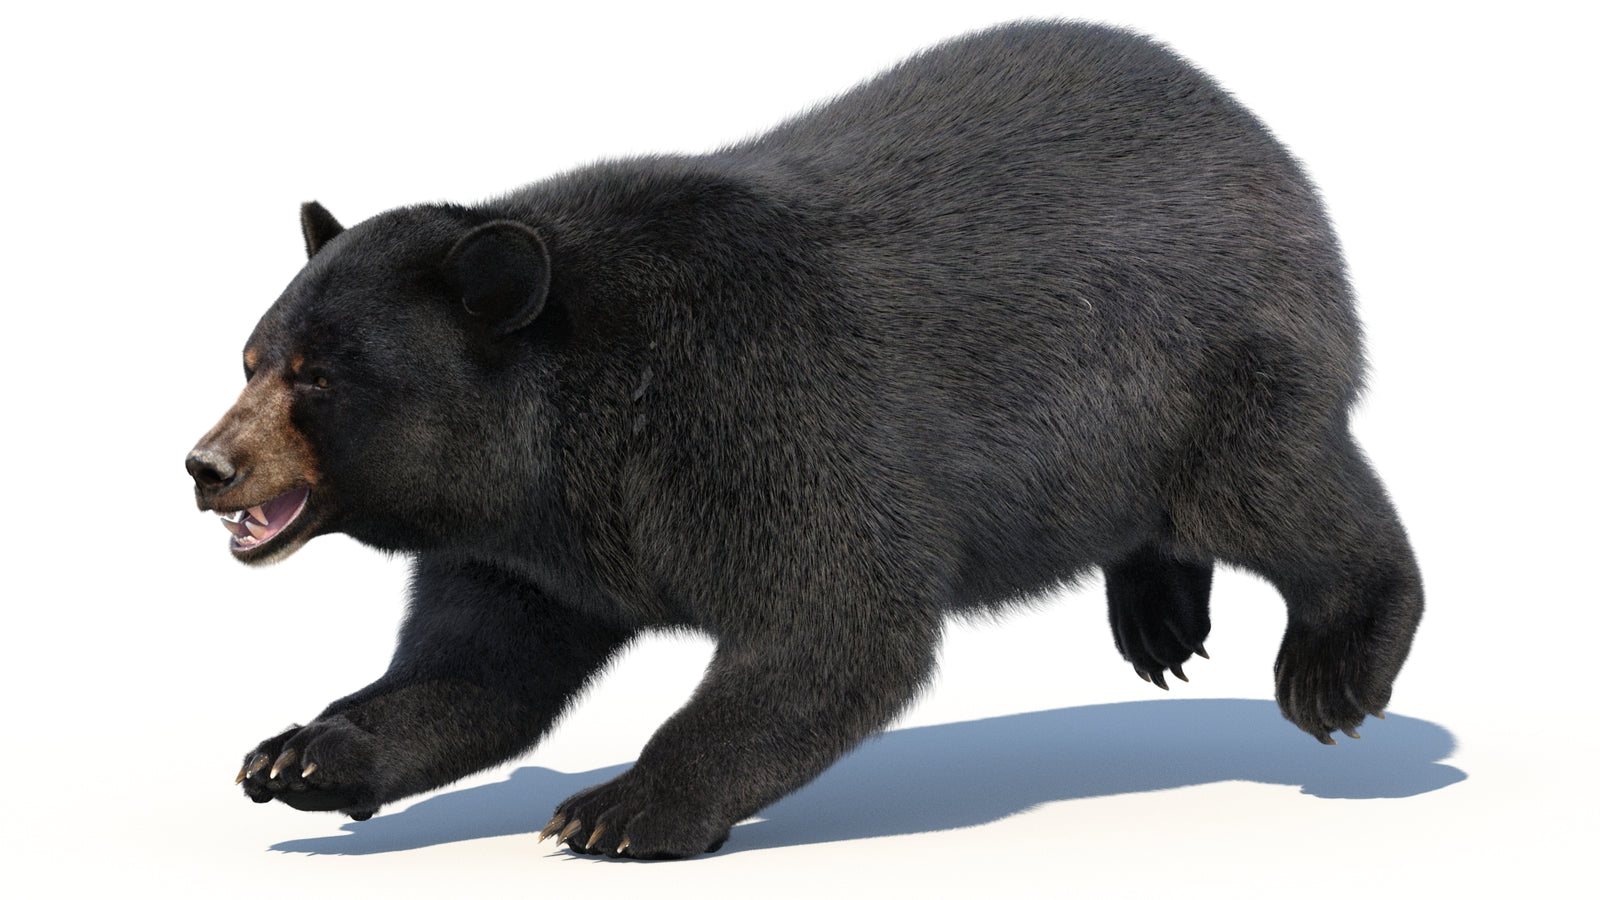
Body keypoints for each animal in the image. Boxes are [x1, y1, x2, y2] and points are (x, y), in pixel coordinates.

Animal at [186, 20, 1423, 859]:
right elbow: (477, 666)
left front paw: (621, 806)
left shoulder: (761, 410)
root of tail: (1261, 141)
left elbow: (837, 617)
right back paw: (1159, 619)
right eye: (250, 357)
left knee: (1281, 493)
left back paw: (1333, 665)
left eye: (318, 376)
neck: (573, 434)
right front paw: (302, 750)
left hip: (1200, 365)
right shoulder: (523, 544)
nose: (206, 467)